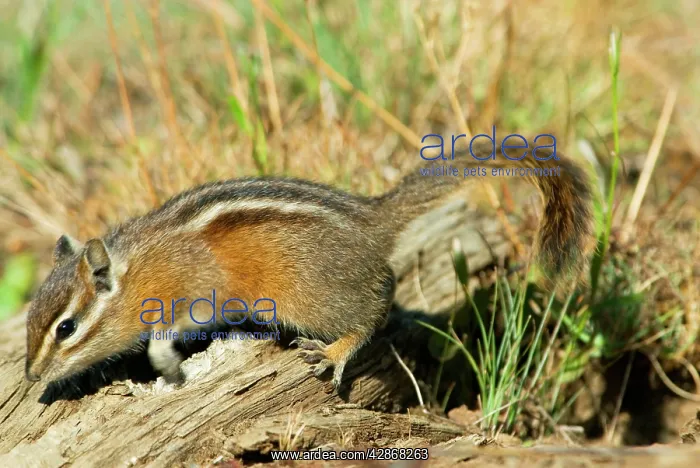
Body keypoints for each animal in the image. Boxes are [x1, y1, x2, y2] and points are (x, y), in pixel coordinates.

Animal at [24, 140, 594, 389]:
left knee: (377, 303)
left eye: (66, 327)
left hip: (309, 298)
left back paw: (336, 351)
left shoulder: (194, 292)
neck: (136, 271)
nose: (30, 376)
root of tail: (371, 216)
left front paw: (164, 363)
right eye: (30, 317)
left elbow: (170, 333)